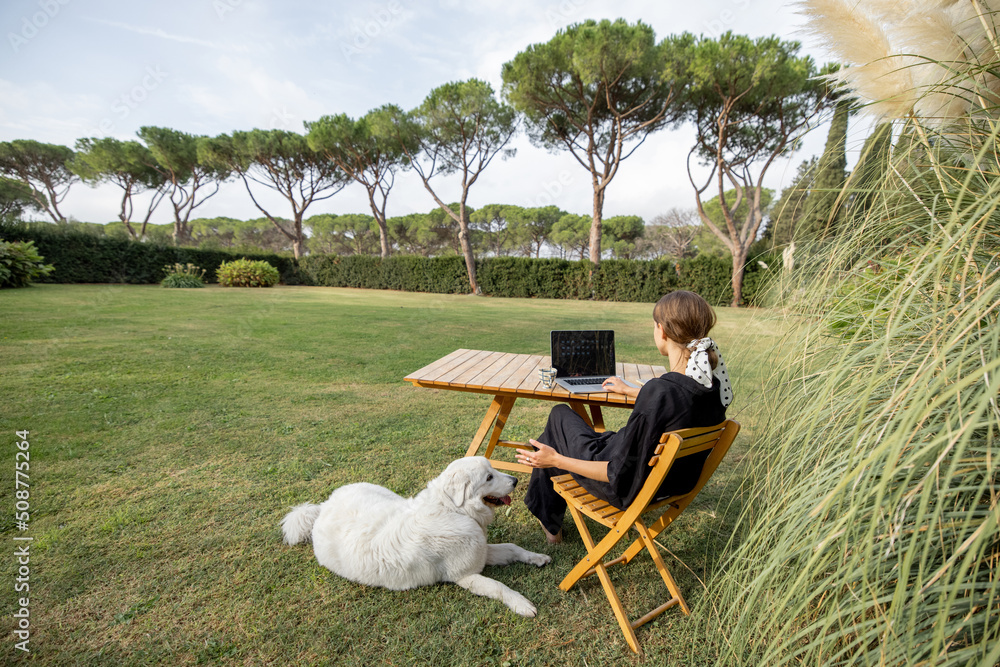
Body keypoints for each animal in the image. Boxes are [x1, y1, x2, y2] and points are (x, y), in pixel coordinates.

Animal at [278, 456, 552, 620]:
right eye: (489, 477)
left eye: (493, 470)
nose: (516, 480)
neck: (453, 509)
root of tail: (322, 507)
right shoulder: (467, 576)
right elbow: (500, 587)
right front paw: (521, 604)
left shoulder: (482, 552)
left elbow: (513, 547)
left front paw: (538, 557)